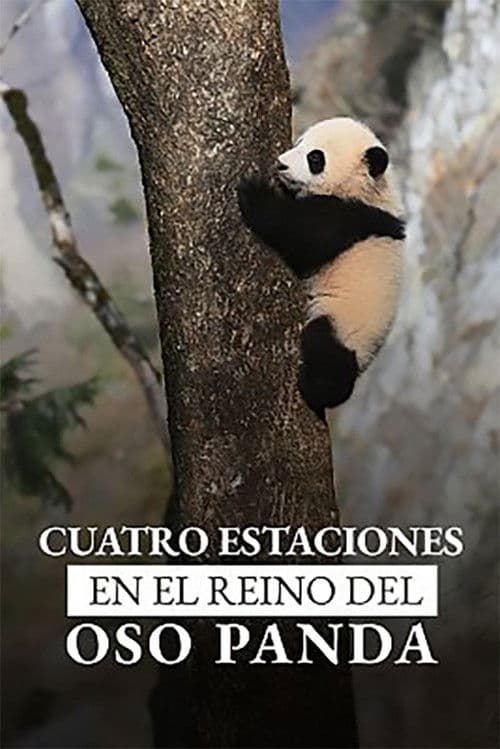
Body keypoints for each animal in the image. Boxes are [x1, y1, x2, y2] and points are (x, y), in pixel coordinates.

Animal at [237, 116, 405, 422]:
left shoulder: (349, 217)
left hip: (345, 323)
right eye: (299, 142)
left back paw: (315, 388)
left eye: (315, 158)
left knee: (327, 356)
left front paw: (255, 193)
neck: (369, 189)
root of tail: (366, 360)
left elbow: (303, 237)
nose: (281, 164)